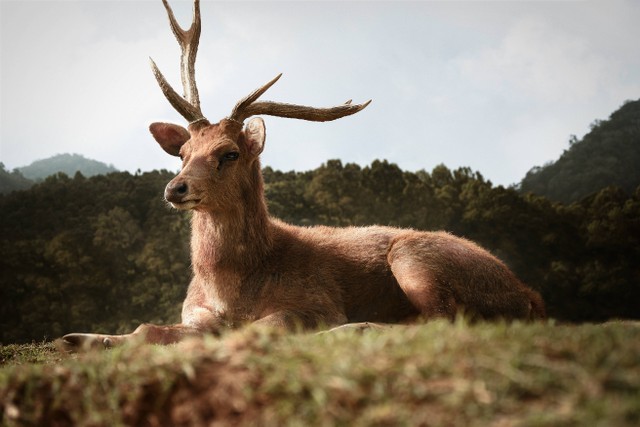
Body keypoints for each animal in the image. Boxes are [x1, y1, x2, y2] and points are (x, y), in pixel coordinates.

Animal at [61, 0, 544, 352]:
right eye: (182, 153)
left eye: (229, 153)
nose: (176, 188)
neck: (231, 287)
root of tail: (530, 296)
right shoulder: (193, 311)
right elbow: (148, 329)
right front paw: (80, 337)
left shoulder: (316, 299)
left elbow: (263, 325)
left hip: (417, 257)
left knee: (441, 320)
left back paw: (354, 328)